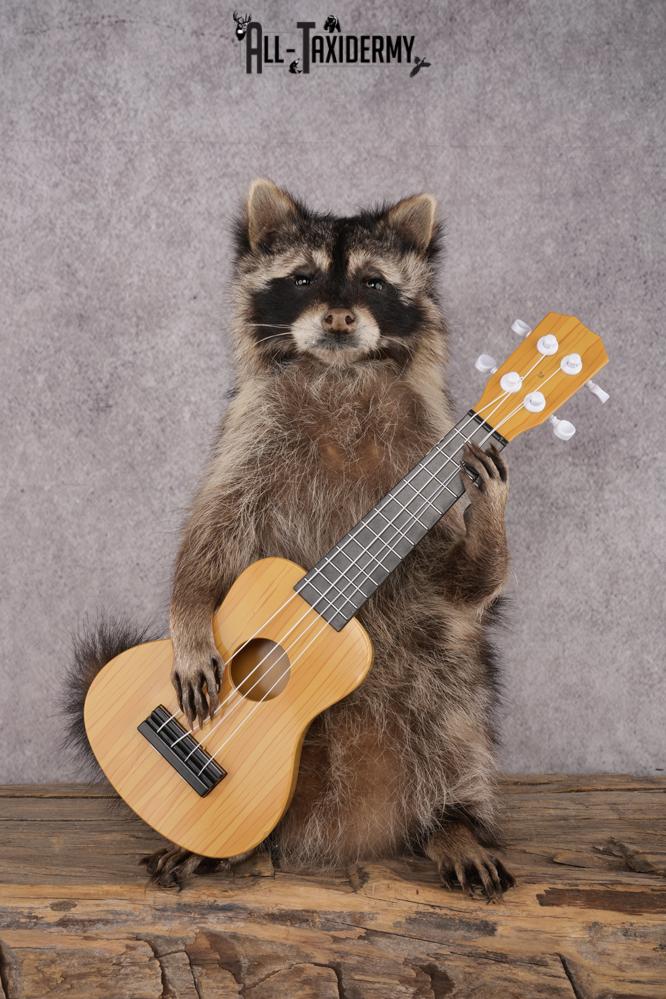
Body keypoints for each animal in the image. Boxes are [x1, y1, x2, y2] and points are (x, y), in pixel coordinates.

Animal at [66, 179, 515, 898]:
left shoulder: (424, 436)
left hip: (441, 685)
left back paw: (454, 821)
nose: (338, 319)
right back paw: (225, 849)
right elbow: (210, 531)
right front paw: (189, 615)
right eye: (302, 277)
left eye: (372, 281)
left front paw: (489, 515)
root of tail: (357, 825)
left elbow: (461, 587)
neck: (340, 371)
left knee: (454, 709)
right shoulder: (252, 431)